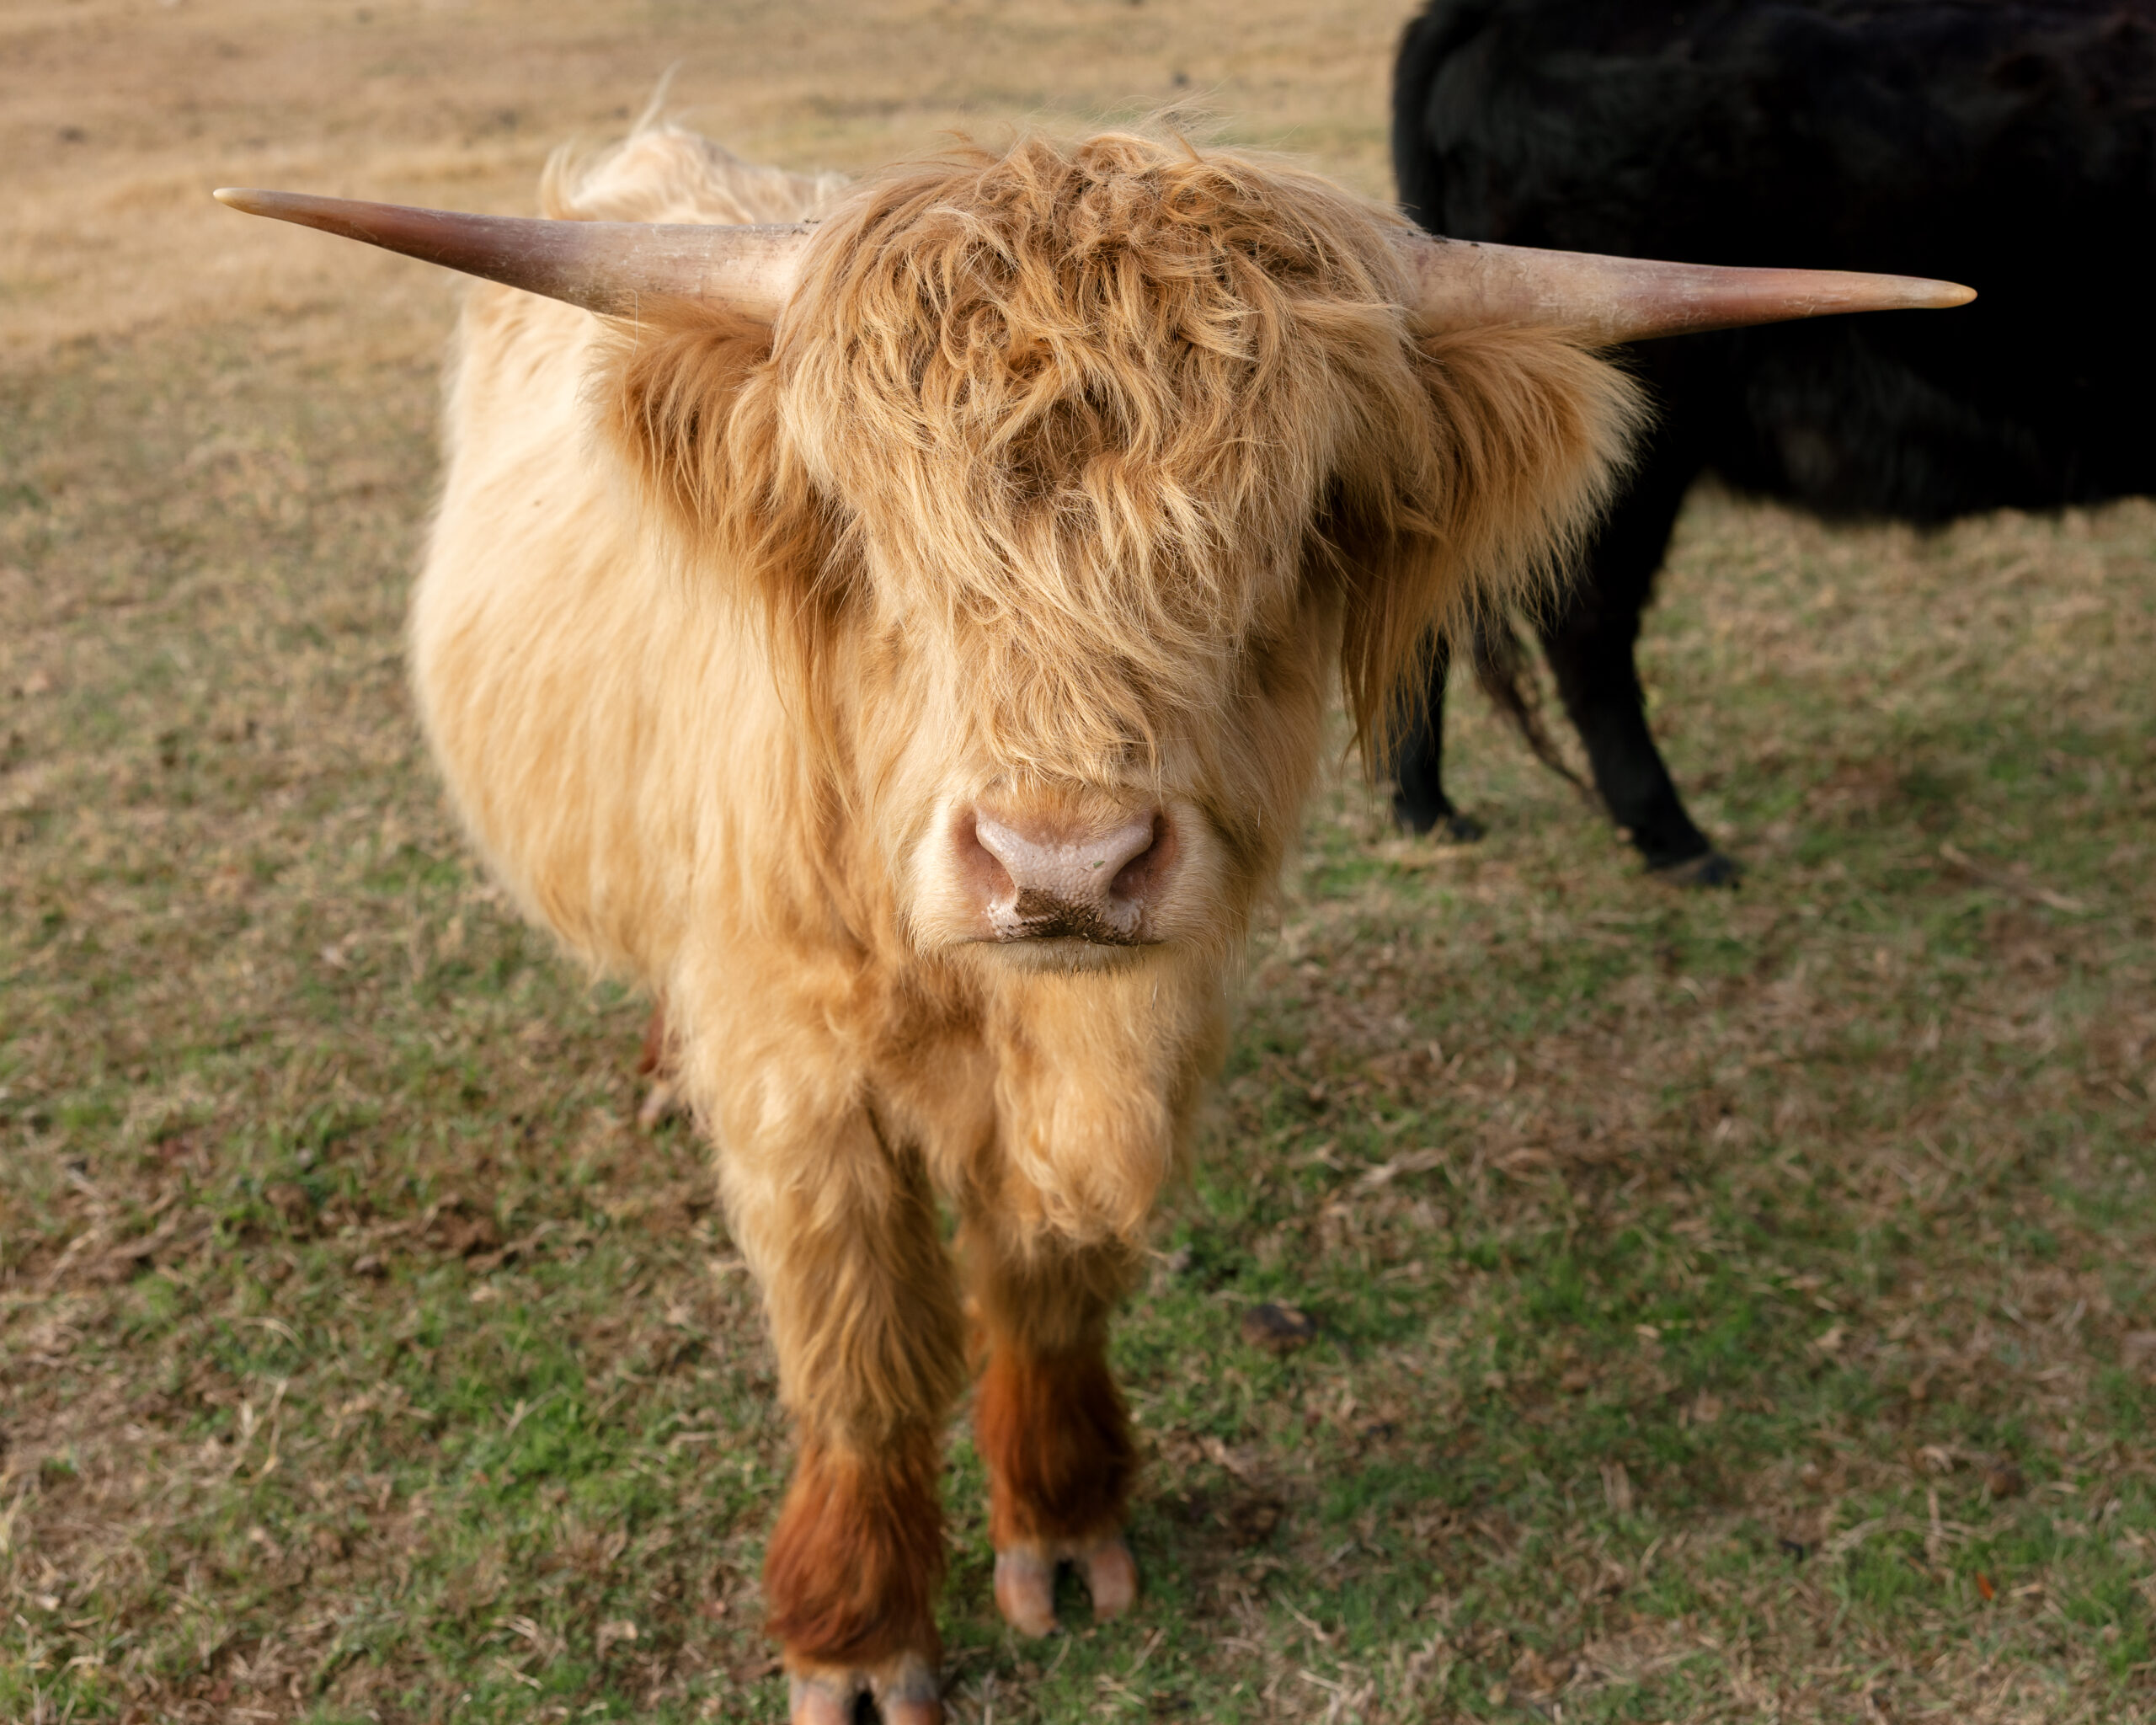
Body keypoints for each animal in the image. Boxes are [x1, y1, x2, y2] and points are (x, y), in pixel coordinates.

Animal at [215, 123, 1961, 1721]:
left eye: (1282, 532)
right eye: (876, 530)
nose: (1062, 862)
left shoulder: (1153, 1018)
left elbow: (1047, 1274)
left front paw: (1062, 1522)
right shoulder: (795, 1068)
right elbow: (855, 1337)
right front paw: (858, 1636)